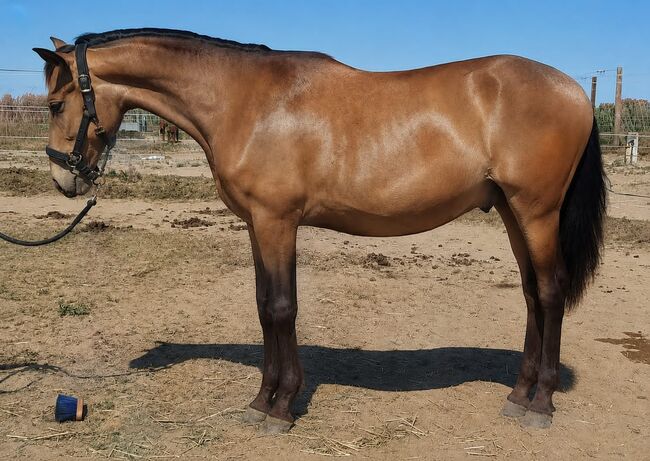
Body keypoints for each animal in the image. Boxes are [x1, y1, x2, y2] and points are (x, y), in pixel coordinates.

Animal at [34, 29, 606, 434]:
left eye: (56, 104)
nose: (63, 178)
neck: (244, 100)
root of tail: (575, 91)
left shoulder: (277, 221)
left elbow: (281, 308)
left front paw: (281, 407)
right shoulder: (258, 225)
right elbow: (264, 306)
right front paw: (263, 400)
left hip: (536, 212)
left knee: (550, 294)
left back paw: (540, 403)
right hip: (511, 212)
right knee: (531, 295)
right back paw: (518, 395)